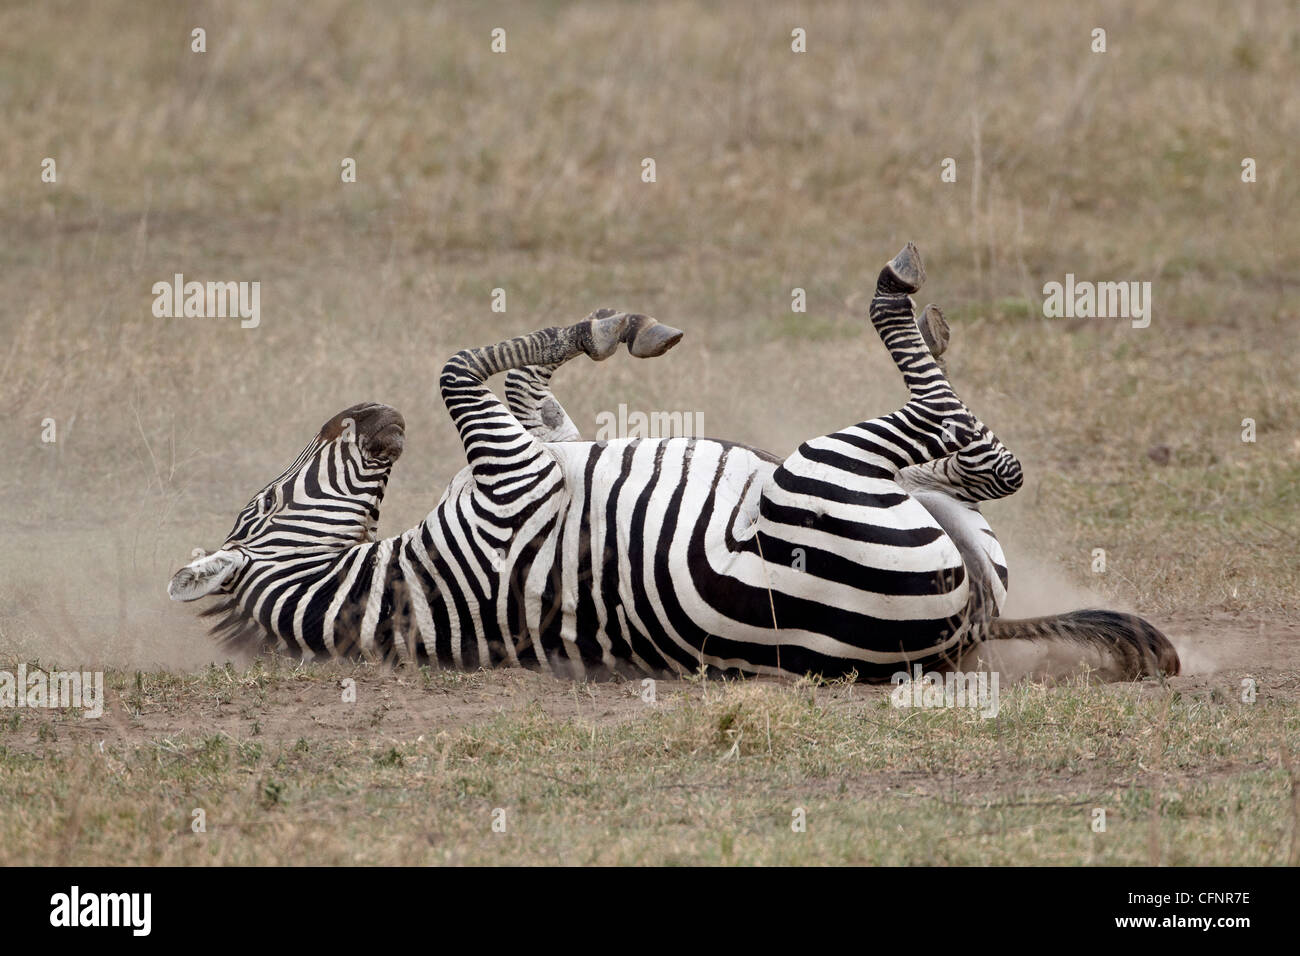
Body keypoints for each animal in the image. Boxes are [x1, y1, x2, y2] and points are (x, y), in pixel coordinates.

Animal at [168, 243, 1180, 683]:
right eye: (268, 501)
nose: (368, 415)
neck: (387, 585)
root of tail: (967, 631)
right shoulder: (513, 478)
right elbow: (460, 368)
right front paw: (606, 329)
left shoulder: (535, 452)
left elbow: (522, 385)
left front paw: (607, 326)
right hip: (820, 475)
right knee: (973, 446)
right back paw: (901, 299)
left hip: (949, 528)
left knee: (965, 465)